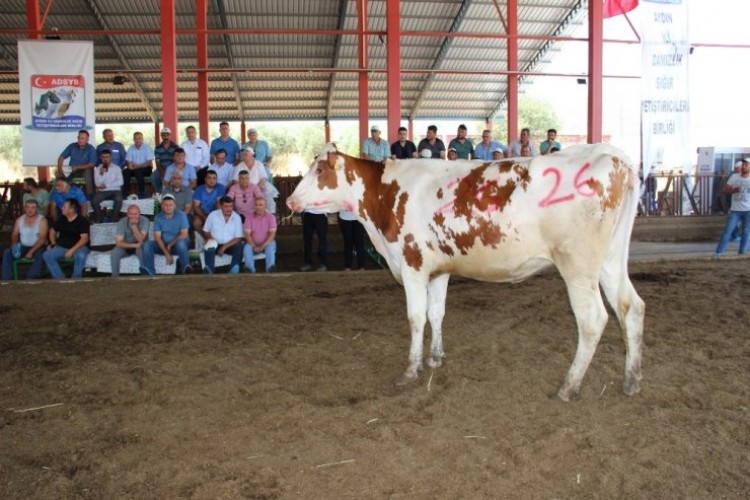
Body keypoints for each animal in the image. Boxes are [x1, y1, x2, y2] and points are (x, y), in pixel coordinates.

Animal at [288, 143, 648, 400]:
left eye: (319, 169)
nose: (291, 200)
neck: (384, 195)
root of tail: (611, 154)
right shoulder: (438, 269)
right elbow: (436, 313)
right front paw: (435, 358)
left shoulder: (413, 264)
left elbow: (416, 318)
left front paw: (411, 369)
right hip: (610, 259)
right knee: (631, 306)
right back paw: (631, 380)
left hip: (578, 264)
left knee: (593, 320)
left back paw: (569, 386)